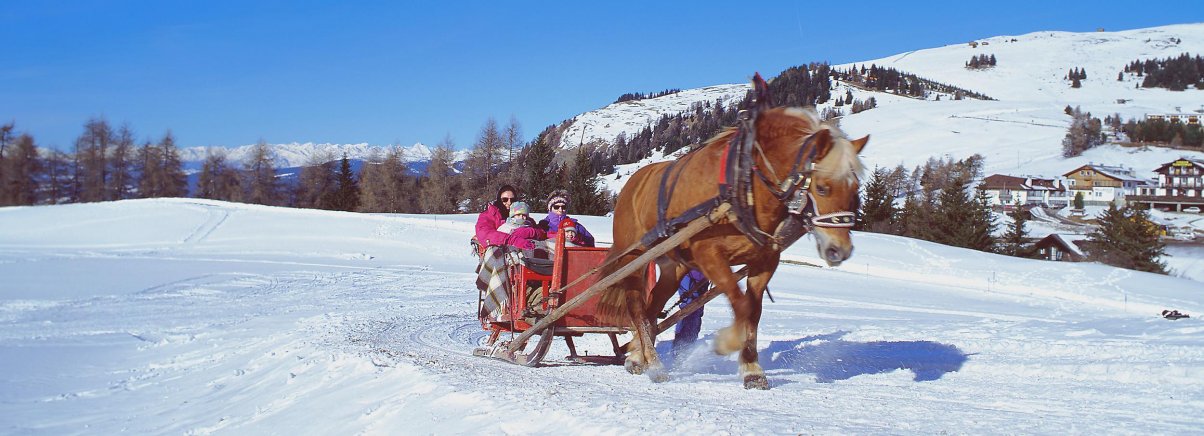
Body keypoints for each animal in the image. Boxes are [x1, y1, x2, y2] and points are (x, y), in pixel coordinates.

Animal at [597, 90, 871, 390]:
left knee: (651, 309)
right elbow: (741, 304)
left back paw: (638, 355)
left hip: (673, 266)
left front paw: (752, 369)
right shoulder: (709, 256)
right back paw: (654, 363)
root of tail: (633, 183)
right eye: (822, 188)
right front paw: (727, 343)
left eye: (856, 189)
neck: (743, 189)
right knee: (636, 306)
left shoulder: (764, 262)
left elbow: (753, 311)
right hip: (633, 258)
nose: (839, 250)